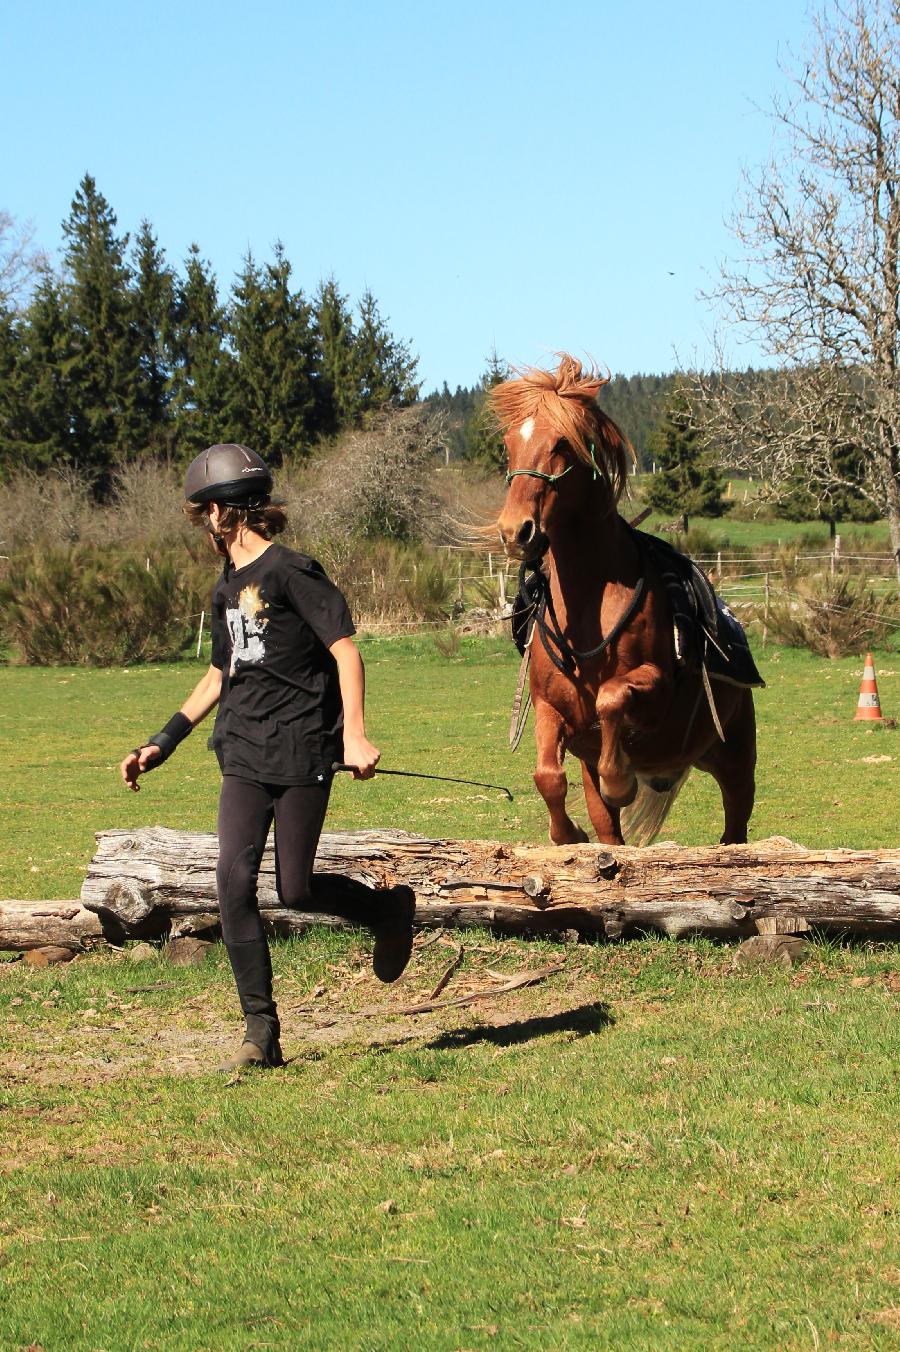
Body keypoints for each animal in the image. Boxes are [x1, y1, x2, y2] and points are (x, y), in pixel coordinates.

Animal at [491, 356, 756, 843]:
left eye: (562, 443)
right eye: (508, 444)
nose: (515, 531)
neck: (587, 610)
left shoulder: (655, 688)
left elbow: (611, 698)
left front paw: (619, 780)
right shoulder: (549, 708)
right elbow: (548, 777)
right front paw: (567, 834)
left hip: (734, 759)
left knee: (736, 825)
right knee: (610, 832)